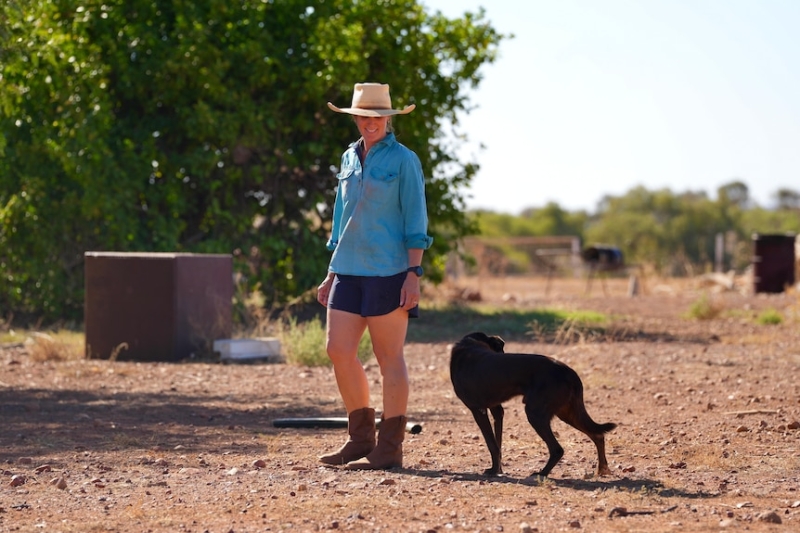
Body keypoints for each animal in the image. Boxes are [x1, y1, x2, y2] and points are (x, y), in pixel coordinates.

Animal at [450, 330, 620, 476]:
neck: (469, 344)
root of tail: (569, 371)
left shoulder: (478, 410)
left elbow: (492, 444)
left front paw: (493, 471)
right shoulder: (496, 409)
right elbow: (497, 444)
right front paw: (497, 469)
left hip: (535, 414)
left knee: (557, 449)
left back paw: (542, 473)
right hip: (568, 413)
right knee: (597, 435)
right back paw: (602, 469)